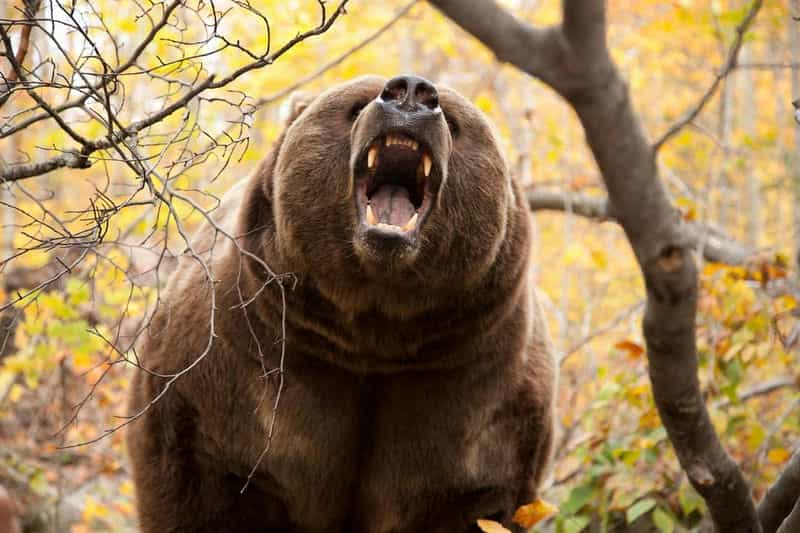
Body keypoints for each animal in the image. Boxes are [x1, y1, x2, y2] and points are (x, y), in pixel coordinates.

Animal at [130, 75, 556, 532]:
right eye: (355, 106)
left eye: (456, 123)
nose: (410, 93)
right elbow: (198, 492)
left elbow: (472, 499)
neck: (371, 330)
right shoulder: (231, 378)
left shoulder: (475, 394)